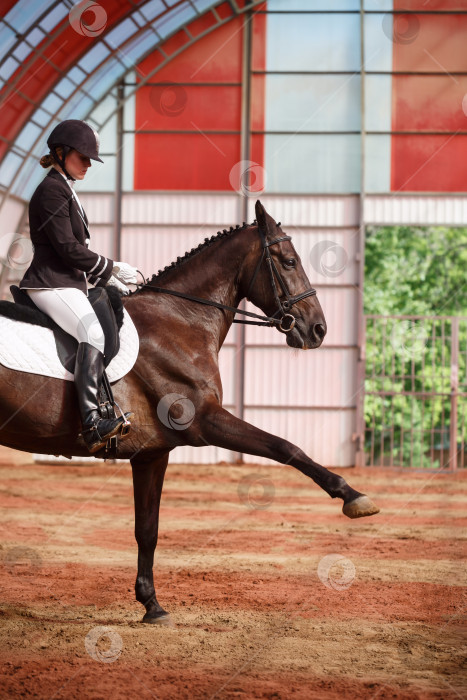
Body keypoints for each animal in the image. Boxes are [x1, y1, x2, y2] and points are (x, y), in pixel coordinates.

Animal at [0, 201, 380, 624]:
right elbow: (286, 447)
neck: (180, 320)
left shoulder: (152, 454)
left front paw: (151, 605)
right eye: (289, 261)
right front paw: (352, 495)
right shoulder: (205, 422)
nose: (318, 329)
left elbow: (147, 529)